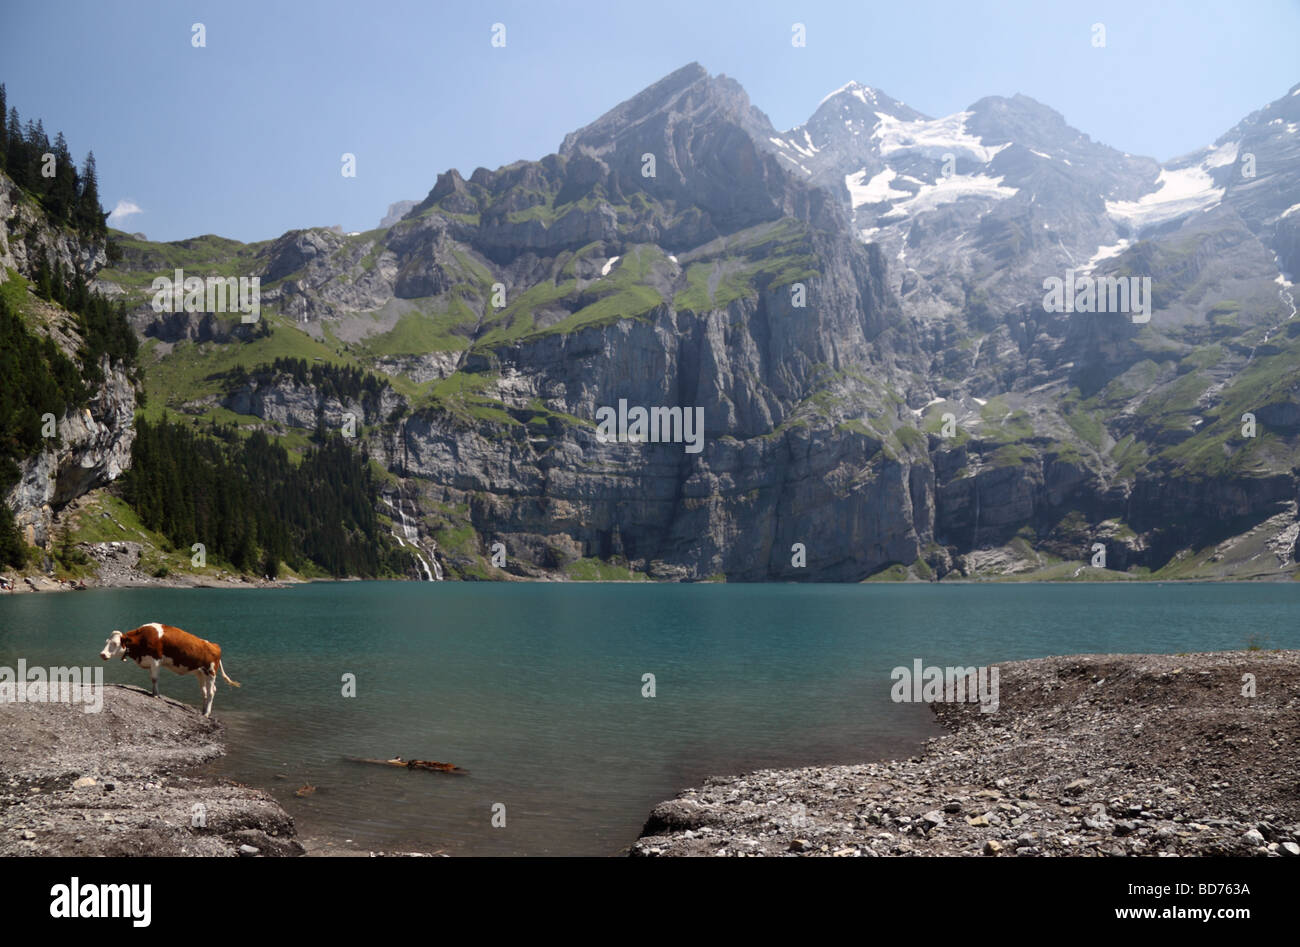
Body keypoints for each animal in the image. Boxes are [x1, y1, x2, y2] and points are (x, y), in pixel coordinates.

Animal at [99, 622, 240, 717]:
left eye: (115, 644)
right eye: (106, 642)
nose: (102, 654)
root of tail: (214, 645)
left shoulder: (156, 661)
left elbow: (154, 679)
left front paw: (155, 695)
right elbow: (152, 678)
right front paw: (154, 693)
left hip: (210, 672)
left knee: (211, 692)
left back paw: (206, 714)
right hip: (200, 673)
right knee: (205, 691)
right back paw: (203, 711)